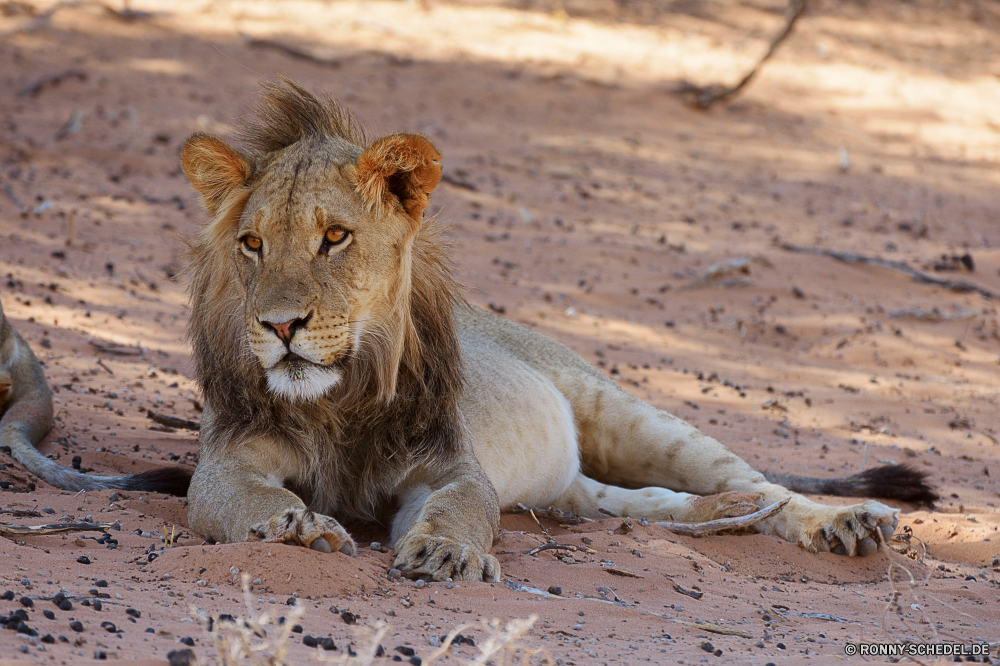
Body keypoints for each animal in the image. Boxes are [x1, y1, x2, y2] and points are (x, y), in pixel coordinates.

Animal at [176, 80, 932, 580]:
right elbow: (248, 497)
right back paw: (726, 510)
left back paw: (843, 522)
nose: (280, 325)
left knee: (764, 486)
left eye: (334, 237)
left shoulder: (450, 464)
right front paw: (297, 528)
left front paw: (448, 551)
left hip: (628, 416)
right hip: (573, 485)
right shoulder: (225, 462)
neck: (338, 398)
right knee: (653, 502)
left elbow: (463, 507)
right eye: (251, 244)